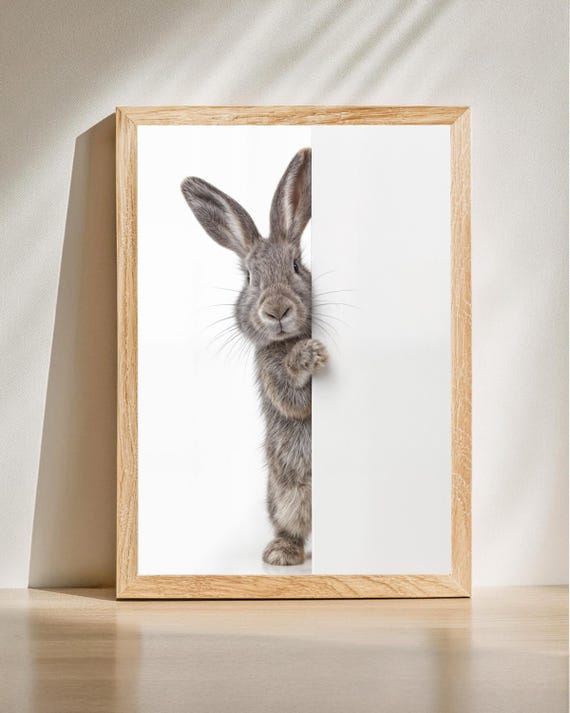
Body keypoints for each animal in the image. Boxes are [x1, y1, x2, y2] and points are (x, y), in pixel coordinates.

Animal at [181, 147, 328, 566]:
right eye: (249, 278)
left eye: (296, 266)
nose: (276, 310)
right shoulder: (269, 372)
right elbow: (294, 399)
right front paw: (308, 354)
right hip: (285, 495)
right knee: (290, 525)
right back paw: (280, 554)